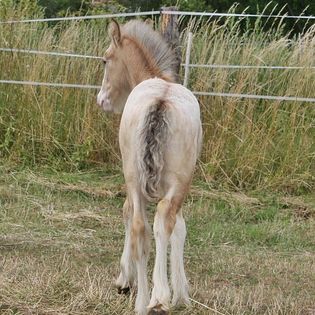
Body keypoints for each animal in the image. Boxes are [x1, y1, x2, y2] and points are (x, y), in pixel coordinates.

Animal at [97, 19, 202, 315]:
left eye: (105, 60)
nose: (101, 100)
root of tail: (161, 101)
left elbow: (127, 214)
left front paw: (124, 279)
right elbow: (179, 229)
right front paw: (181, 293)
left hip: (136, 180)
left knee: (141, 227)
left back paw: (147, 300)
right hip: (174, 183)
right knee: (156, 224)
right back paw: (157, 299)